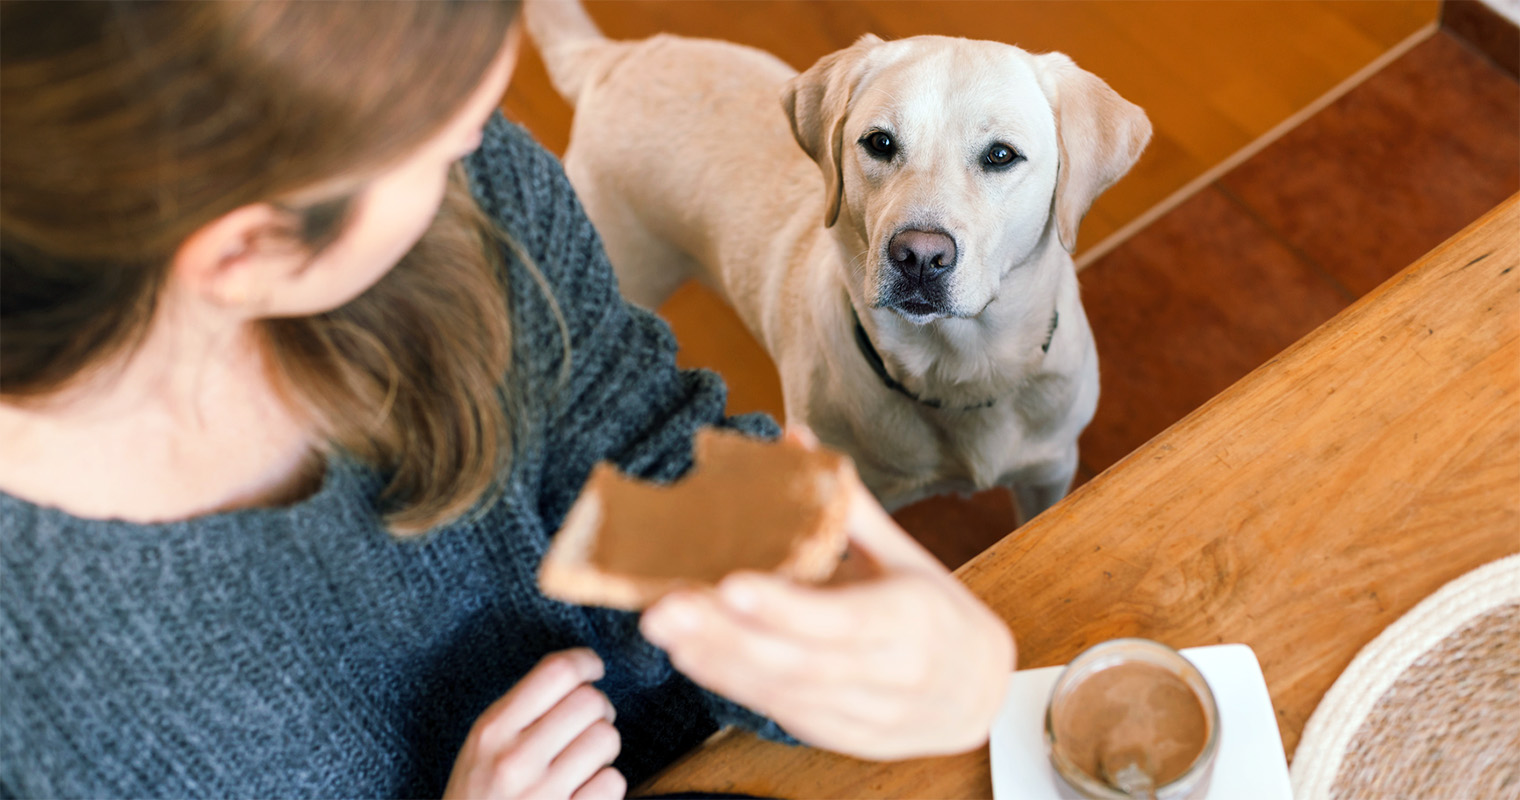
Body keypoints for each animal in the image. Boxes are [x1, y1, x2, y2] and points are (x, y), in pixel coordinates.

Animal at [528, 0, 1143, 523]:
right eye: (879, 143)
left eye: (1000, 155)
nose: (919, 257)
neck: (958, 371)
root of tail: (615, 59)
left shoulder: (1049, 472)